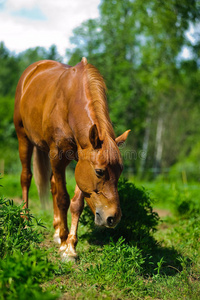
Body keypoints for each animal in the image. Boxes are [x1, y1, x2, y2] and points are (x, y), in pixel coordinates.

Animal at [13, 56, 130, 260]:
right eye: (99, 172)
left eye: (120, 172)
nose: (113, 217)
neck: (69, 106)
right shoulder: (58, 157)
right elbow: (63, 199)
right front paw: (64, 240)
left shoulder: (80, 162)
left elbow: (76, 203)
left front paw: (70, 246)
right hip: (23, 138)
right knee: (26, 178)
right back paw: (26, 221)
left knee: (52, 184)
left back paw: (56, 230)